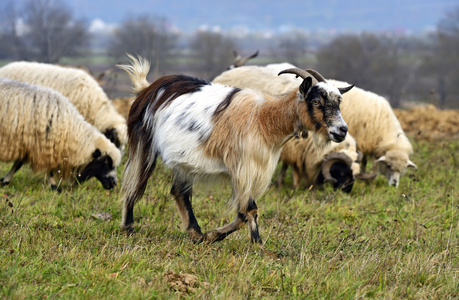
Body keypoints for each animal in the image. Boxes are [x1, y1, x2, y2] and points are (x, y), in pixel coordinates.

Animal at [117, 55, 354, 244]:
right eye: (316, 101)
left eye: (339, 102)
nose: (342, 130)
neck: (263, 120)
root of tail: (147, 88)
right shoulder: (242, 166)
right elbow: (250, 209)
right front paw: (256, 243)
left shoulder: (251, 171)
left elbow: (243, 212)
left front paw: (214, 235)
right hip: (144, 142)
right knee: (134, 183)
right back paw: (128, 227)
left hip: (183, 159)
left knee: (178, 191)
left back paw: (196, 233)